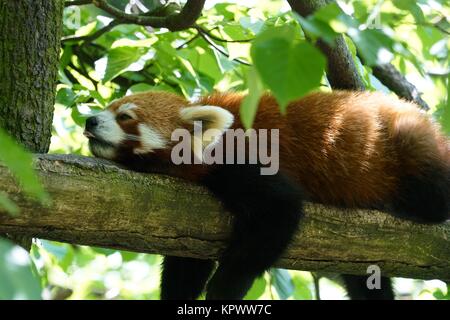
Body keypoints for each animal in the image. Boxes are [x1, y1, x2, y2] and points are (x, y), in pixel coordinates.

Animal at [84, 89, 450, 300]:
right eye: (108, 108)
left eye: (125, 116)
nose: (89, 120)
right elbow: (186, 260)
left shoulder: (245, 161)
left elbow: (279, 214)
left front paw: (222, 290)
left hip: (409, 143)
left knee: (434, 193)